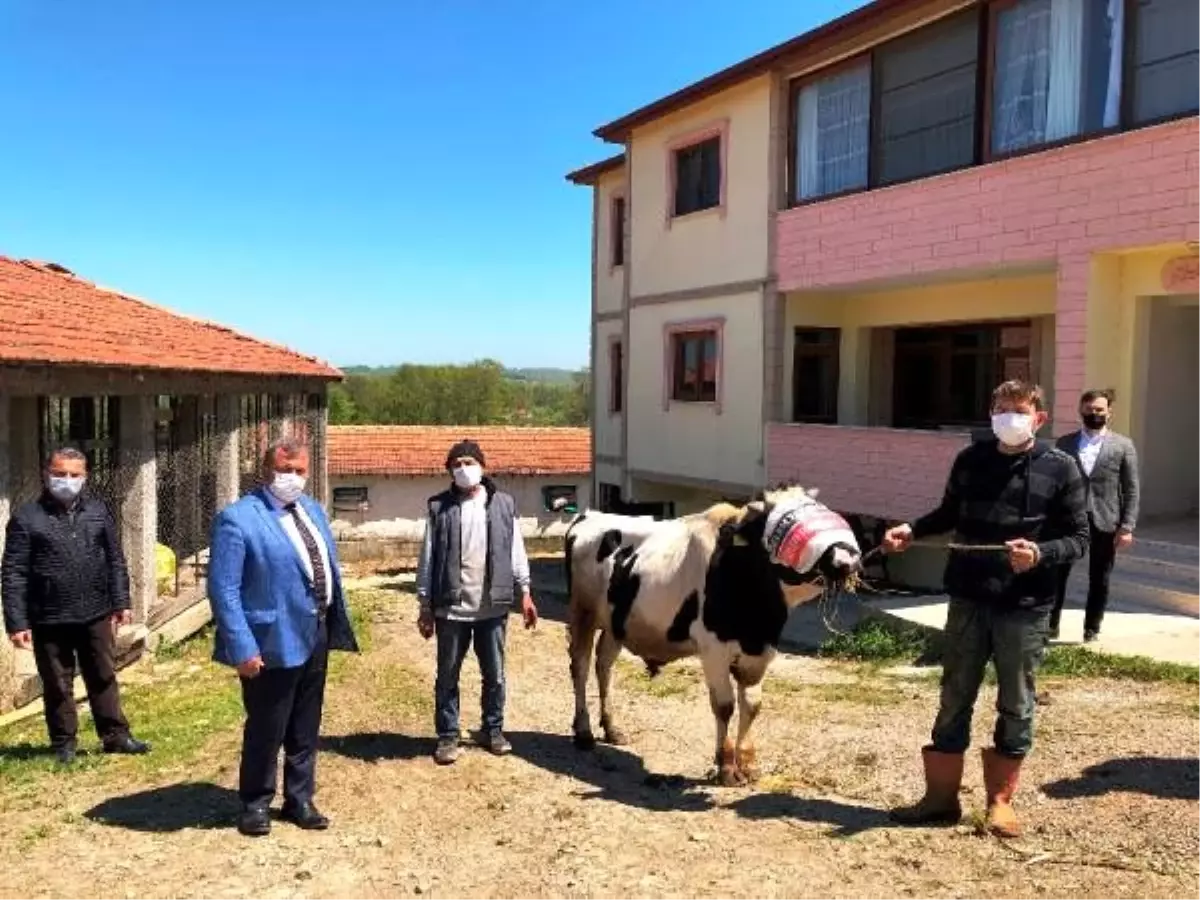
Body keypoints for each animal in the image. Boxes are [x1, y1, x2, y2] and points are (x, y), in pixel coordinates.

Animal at [564, 487, 864, 787]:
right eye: (784, 522)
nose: (845, 559)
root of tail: (589, 515)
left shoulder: (760, 653)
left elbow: (752, 705)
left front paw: (748, 764)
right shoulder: (714, 651)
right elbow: (724, 706)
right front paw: (727, 767)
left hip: (616, 624)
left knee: (604, 665)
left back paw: (612, 728)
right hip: (582, 613)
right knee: (580, 667)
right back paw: (584, 732)